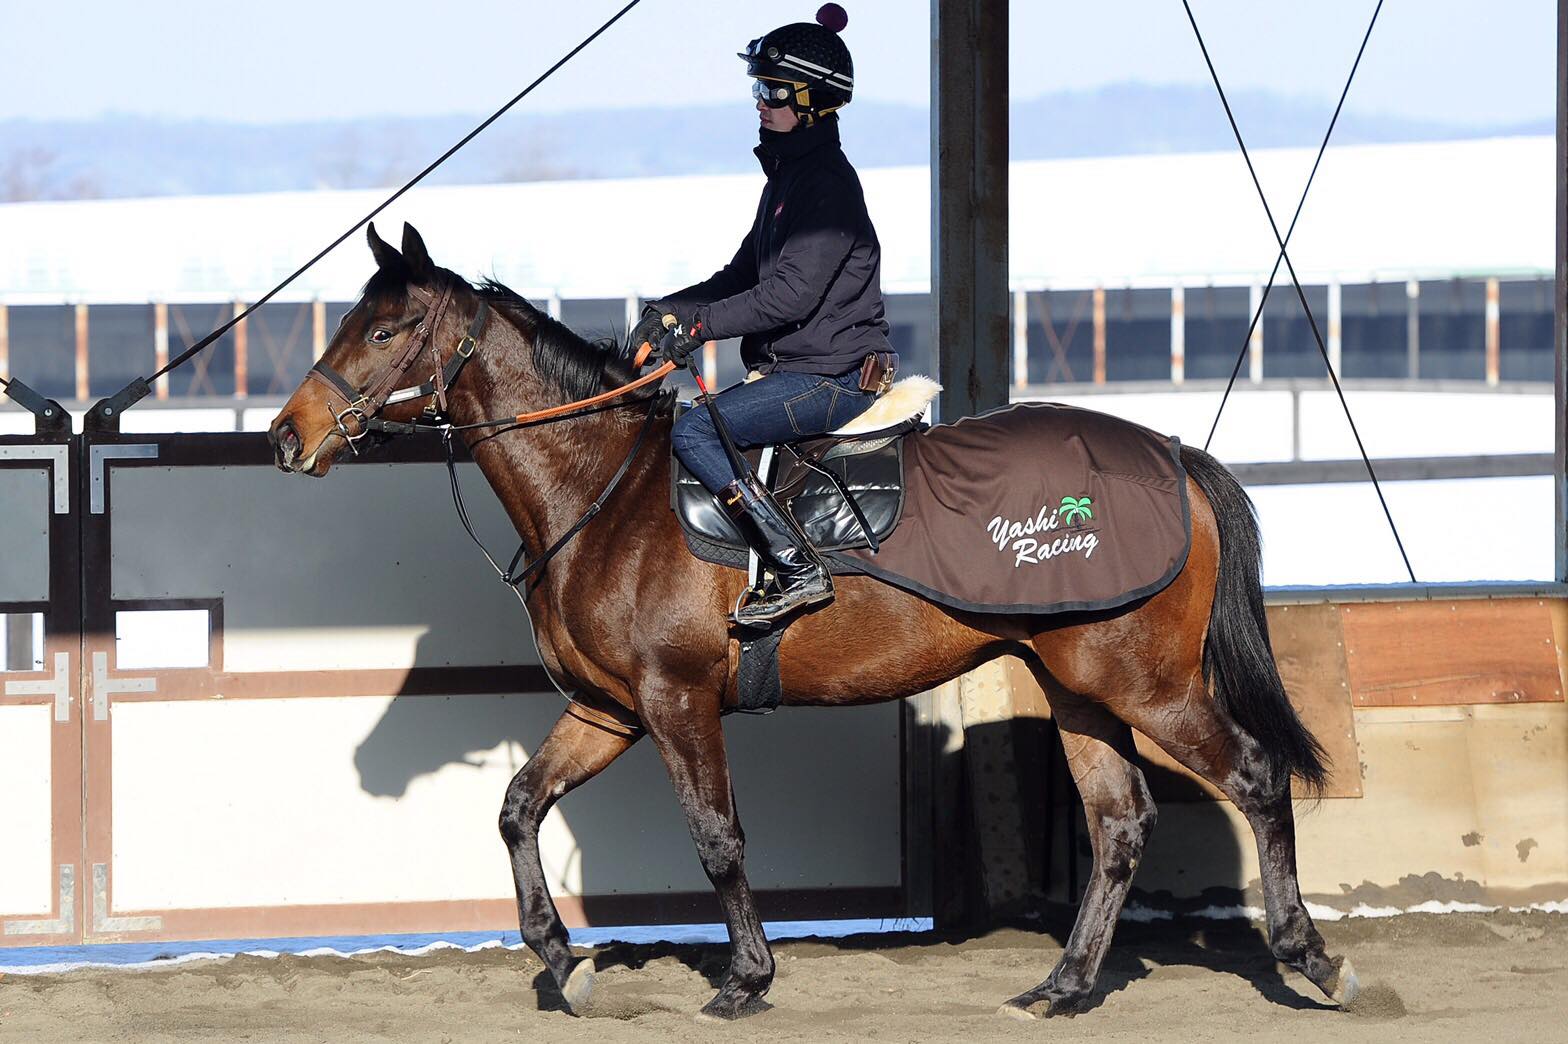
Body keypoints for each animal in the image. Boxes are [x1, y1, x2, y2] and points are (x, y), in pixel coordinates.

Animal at [263, 221, 1354, 1015]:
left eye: (384, 331)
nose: (285, 437)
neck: (603, 491)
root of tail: (1172, 454)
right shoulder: (607, 711)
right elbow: (519, 806)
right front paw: (557, 956)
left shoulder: (675, 703)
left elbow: (717, 837)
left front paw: (745, 981)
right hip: (1077, 682)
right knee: (1119, 822)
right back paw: (1064, 985)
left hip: (1144, 683)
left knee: (1255, 779)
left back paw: (1311, 957)